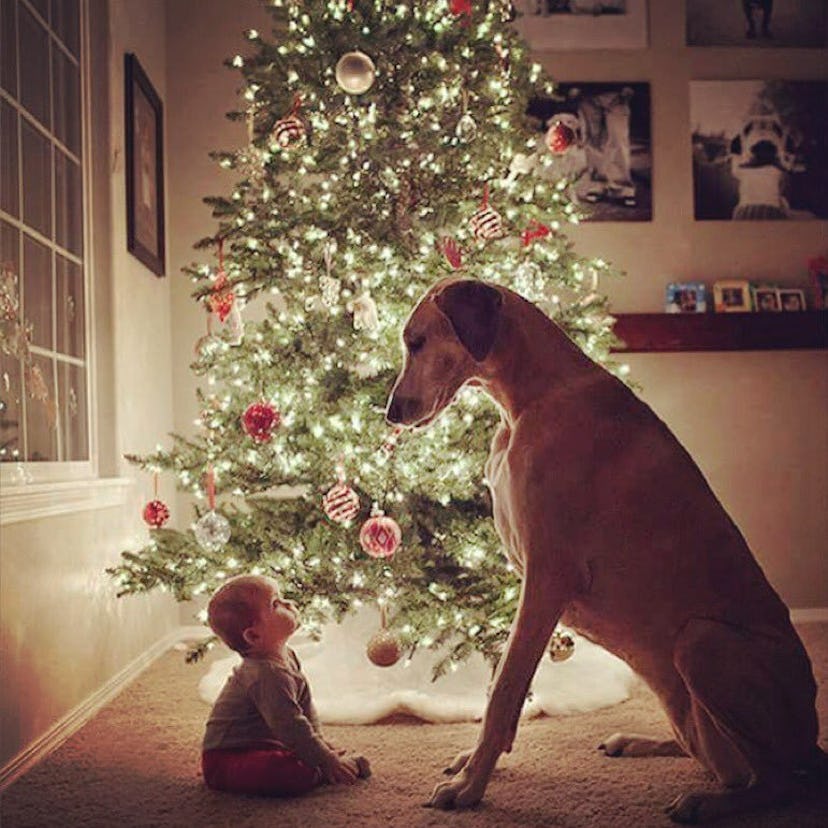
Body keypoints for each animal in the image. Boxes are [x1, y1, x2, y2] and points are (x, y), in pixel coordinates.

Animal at [384, 278, 820, 820]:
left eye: (416, 341)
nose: (389, 413)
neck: (532, 396)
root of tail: (813, 742)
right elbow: (502, 687)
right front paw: (477, 763)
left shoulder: (547, 577)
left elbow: (504, 689)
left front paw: (471, 786)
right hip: (685, 701)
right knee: (724, 762)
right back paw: (638, 743)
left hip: (702, 641)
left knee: (778, 781)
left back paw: (706, 803)